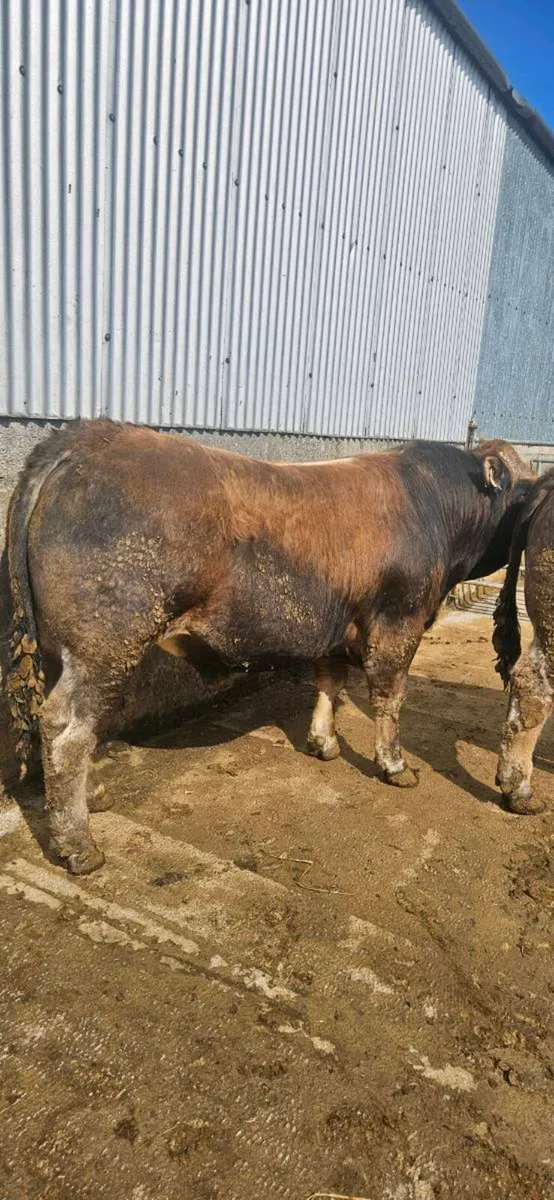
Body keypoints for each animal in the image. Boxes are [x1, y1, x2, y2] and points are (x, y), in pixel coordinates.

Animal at [3, 419, 534, 874]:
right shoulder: (397, 620)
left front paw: (323, 743)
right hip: (105, 643)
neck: (434, 506)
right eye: (526, 487)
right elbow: (389, 696)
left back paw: (91, 797)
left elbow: (330, 682)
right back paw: (78, 844)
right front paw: (395, 765)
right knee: (68, 729)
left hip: (62, 649)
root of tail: (89, 435)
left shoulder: (334, 623)